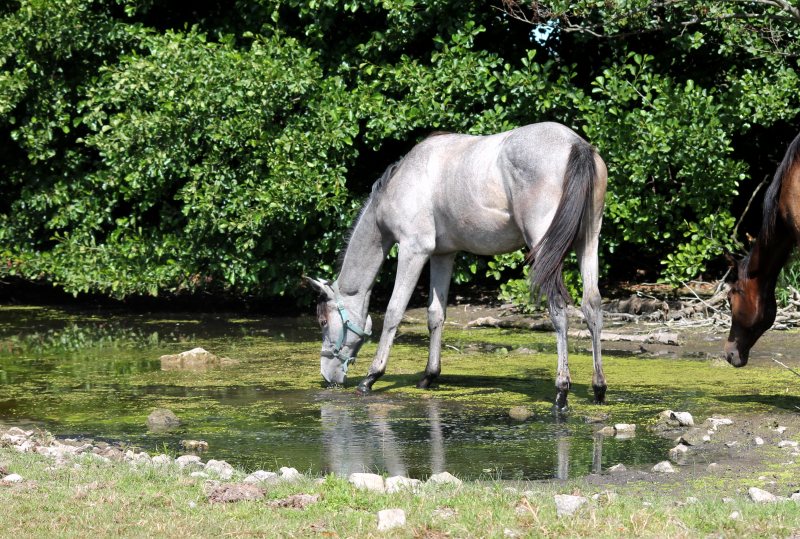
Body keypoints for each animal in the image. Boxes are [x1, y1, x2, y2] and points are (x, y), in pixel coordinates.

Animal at [306, 121, 608, 410]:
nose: (327, 377)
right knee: (591, 305)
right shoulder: (443, 255)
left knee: (558, 309)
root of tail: (575, 144)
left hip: (544, 247)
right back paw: (599, 389)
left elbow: (394, 311)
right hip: (588, 241)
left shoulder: (414, 250)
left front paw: (371, 377)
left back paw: (561, 391)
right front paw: (428, 376)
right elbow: (435, 315)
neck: (399, 183)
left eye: (323, 321)